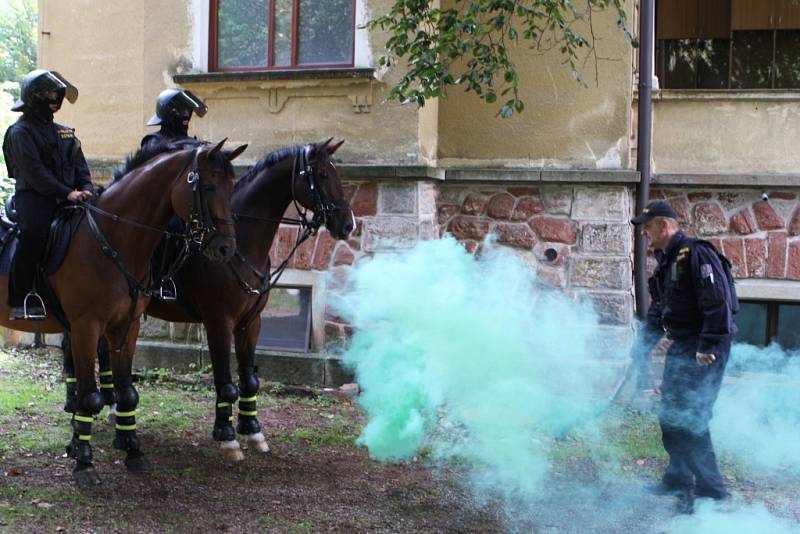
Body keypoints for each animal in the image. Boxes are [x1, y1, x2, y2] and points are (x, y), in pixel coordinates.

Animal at [0, 140, 244, 488]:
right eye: (209, 187)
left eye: (232, 187)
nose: (226, 249)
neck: (112, 238)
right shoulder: (86, 328)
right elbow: (90, 396)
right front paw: (84, 462)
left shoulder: (124, 329)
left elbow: (126, 391)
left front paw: (132, 450)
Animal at [139, 141, 352, 460]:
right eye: (324, 174)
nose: (348, 224)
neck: (241, 245)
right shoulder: (218, 323)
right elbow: (225, 381)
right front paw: (227, 436)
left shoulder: (250, 324)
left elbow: (248, 379)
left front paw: (251, 431)